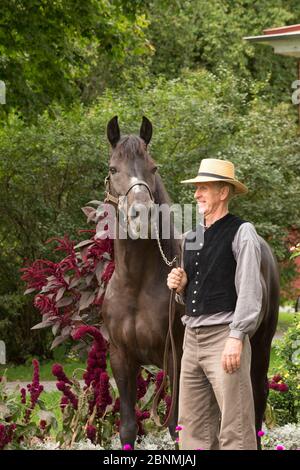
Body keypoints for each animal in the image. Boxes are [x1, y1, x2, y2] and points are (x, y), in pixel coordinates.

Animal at [102, 115, 280, 450]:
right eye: (113, 168)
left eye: (153, 167)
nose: (142, 214)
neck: (136, 284)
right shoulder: (121, 358)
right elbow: (128, 428)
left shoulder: (177, 359)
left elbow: (177, 428)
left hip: (260, 347)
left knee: (256, 399)